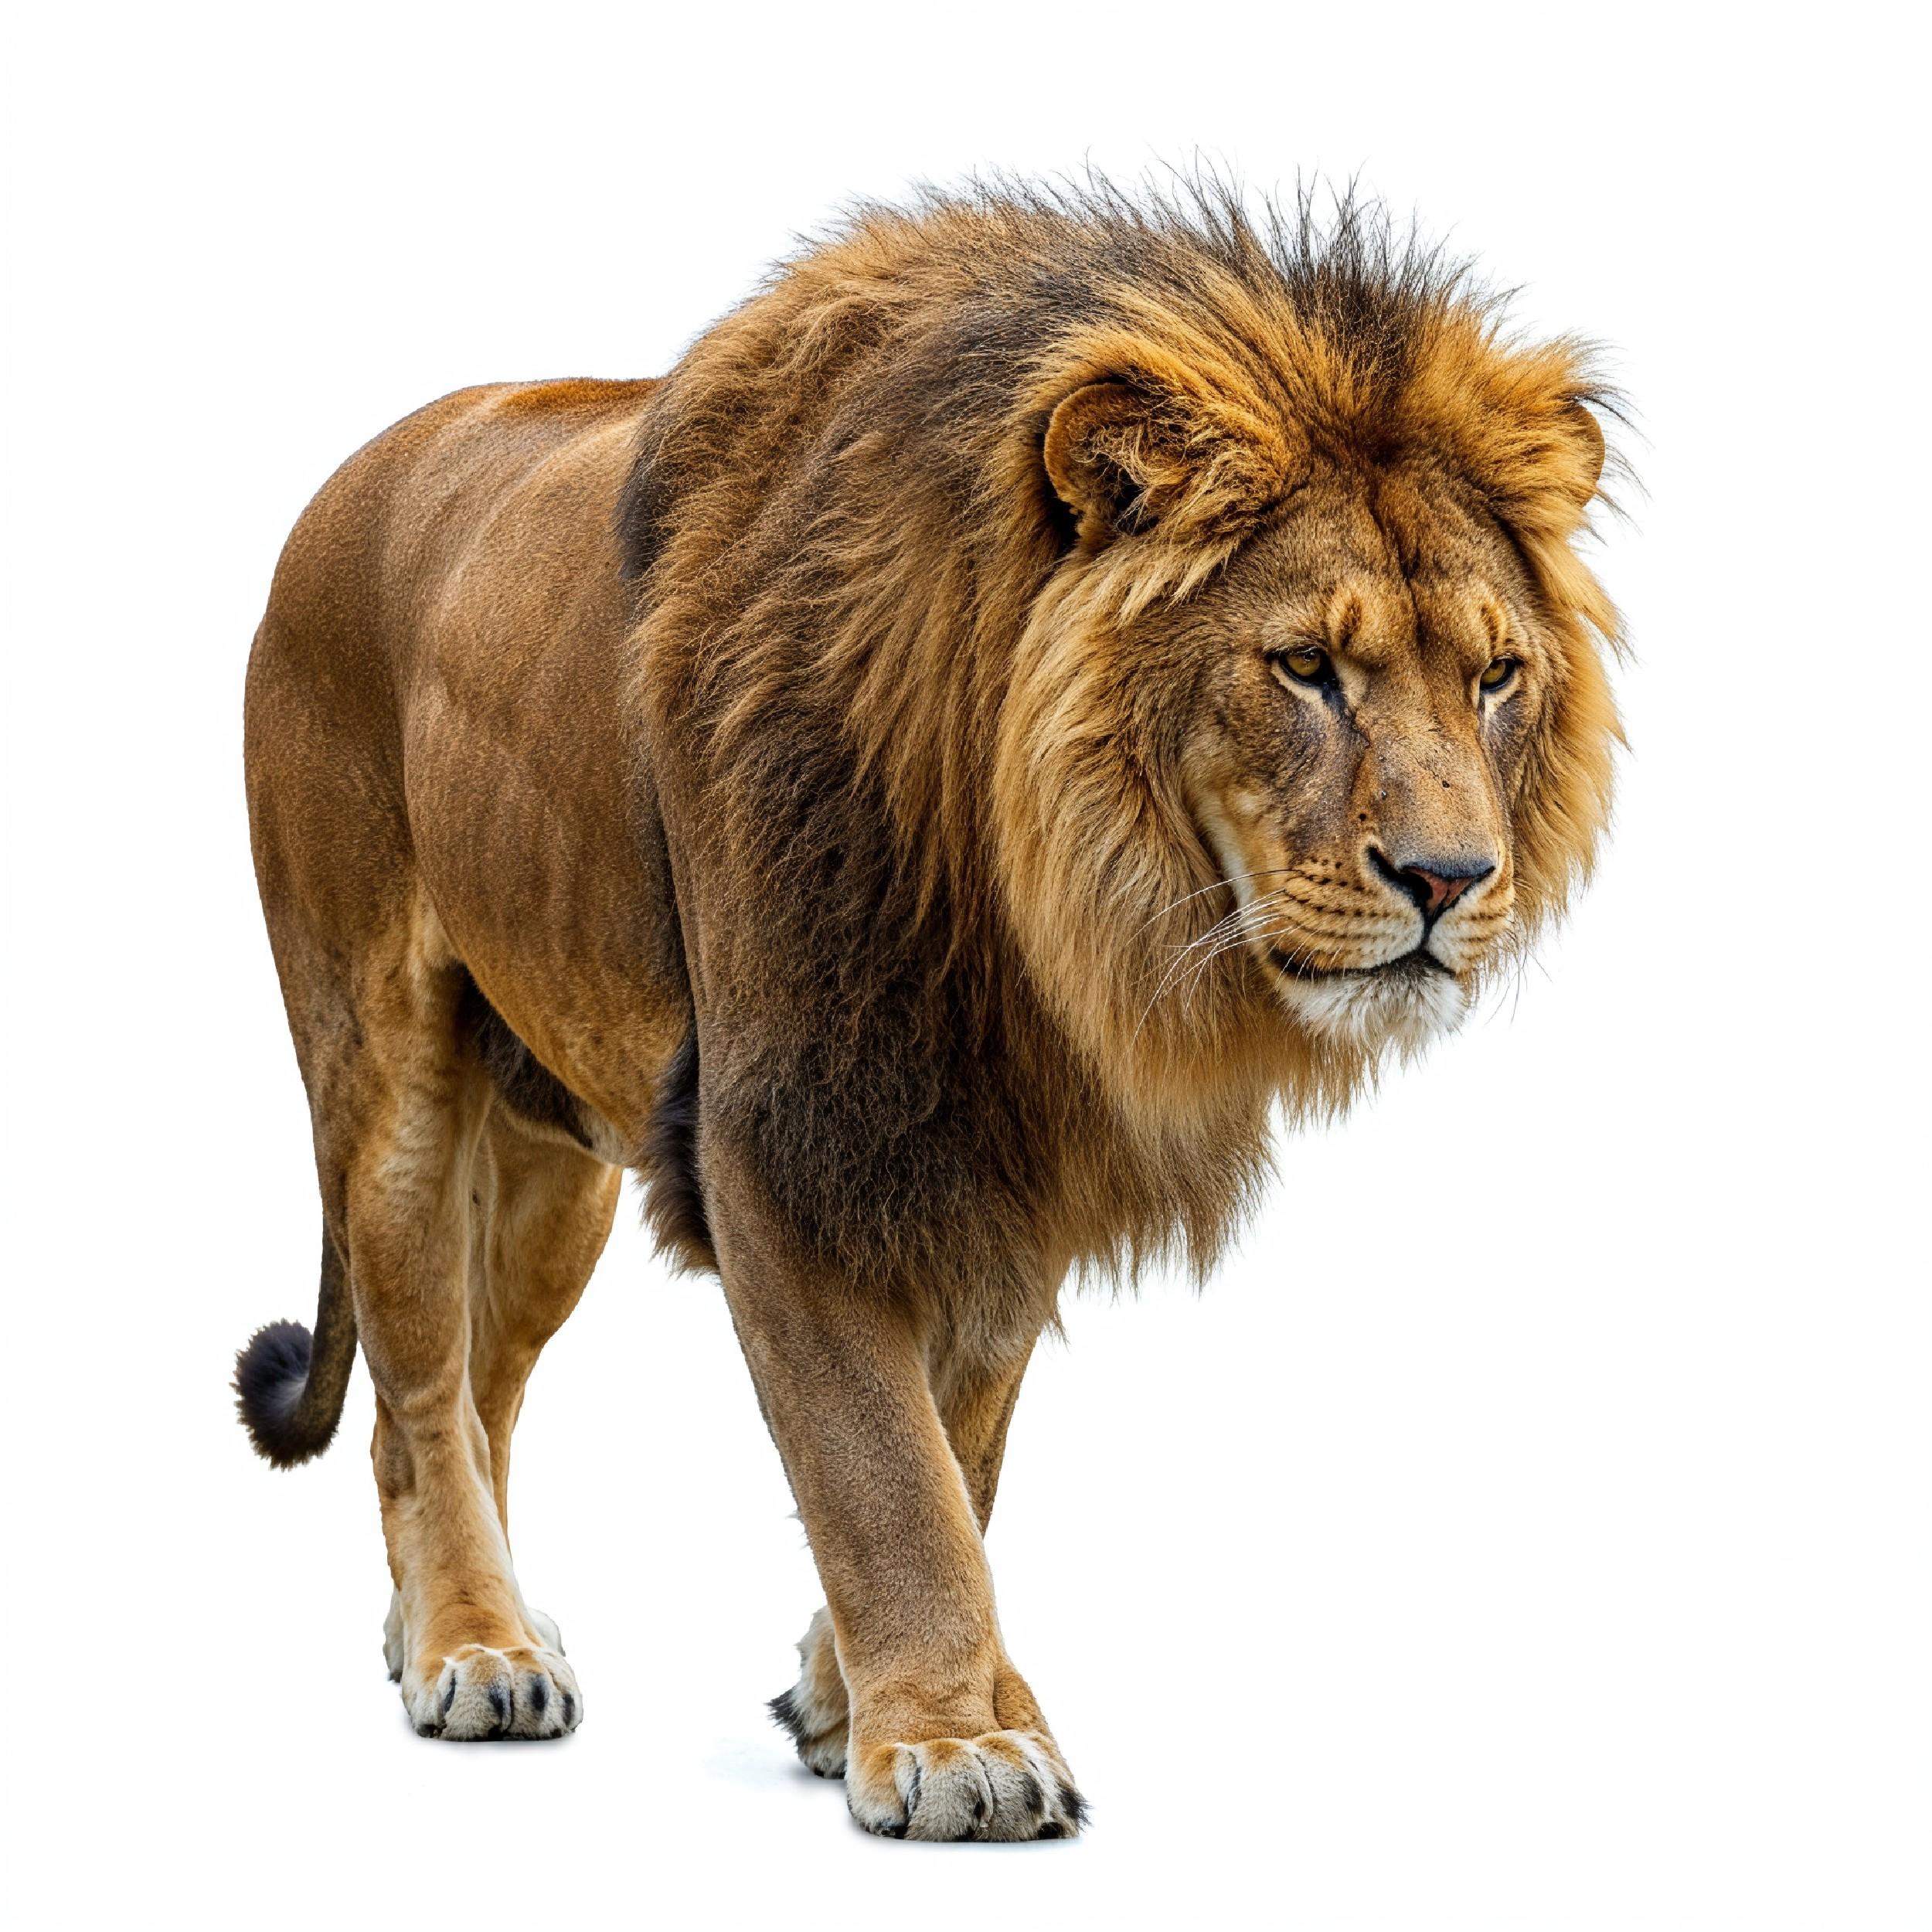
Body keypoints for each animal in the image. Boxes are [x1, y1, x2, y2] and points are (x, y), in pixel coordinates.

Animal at [234, 177, 1621, 1841]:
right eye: (1302, 666)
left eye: (1493, 676)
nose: (1449, 877)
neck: (1051, 918)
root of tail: (340, 483)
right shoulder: (781, 1136)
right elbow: (882, 1464)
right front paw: (956, 1743)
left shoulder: (1007, 1148)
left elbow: (963, 1444)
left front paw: (852, 1701)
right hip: (382, 1067)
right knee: (418, 1384)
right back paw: (475, 1647)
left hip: (562, 1158)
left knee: (478, 1378)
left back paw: (469, 1620)